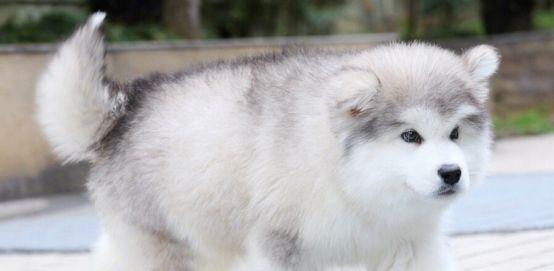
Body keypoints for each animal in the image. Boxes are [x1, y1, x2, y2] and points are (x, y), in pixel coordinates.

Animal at [36, 12, 498, 271]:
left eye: (456, 132)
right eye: (410, 135)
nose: (451, 173)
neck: (346, 179)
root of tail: (124, 109)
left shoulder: (408, 248)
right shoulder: (280, 247)